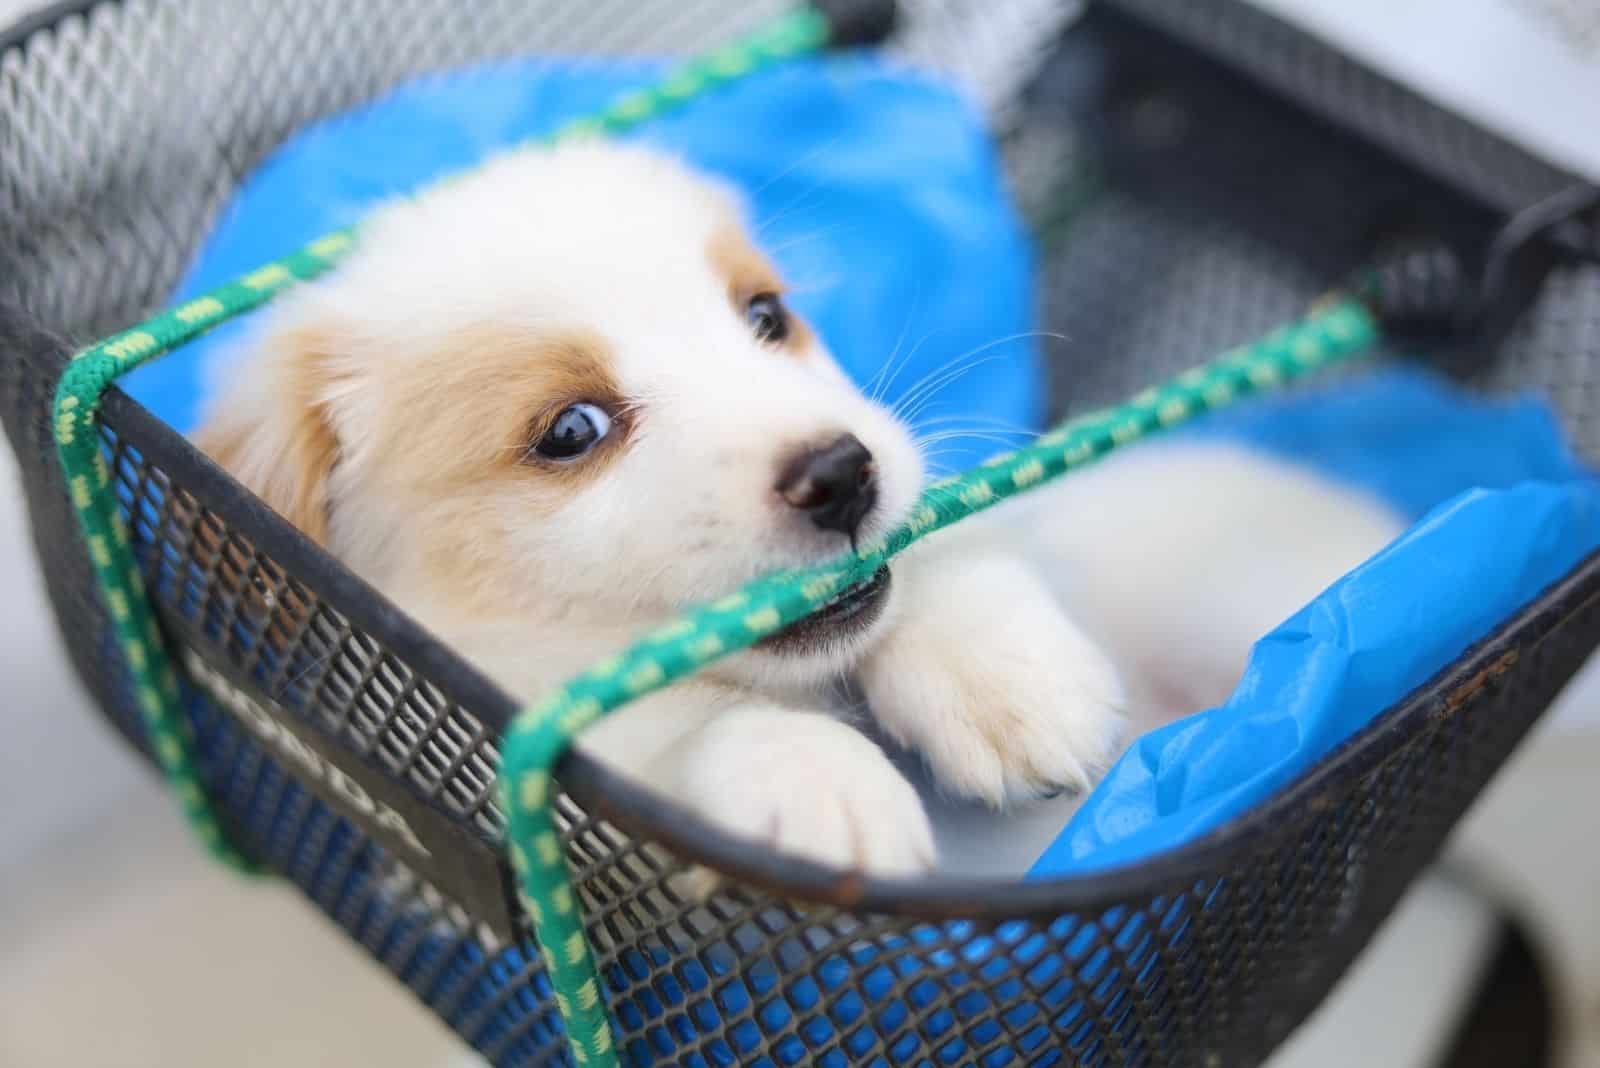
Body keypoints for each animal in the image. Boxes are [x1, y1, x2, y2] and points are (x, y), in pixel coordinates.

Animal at [200, 139, 1401, 876]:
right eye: (570, 432)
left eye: (765, 318)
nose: (841, 473)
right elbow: (679, 721)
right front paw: (815, 778)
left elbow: (944, 555)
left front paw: (1005, 680)